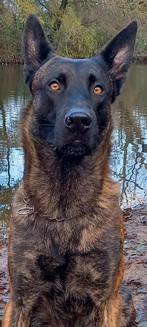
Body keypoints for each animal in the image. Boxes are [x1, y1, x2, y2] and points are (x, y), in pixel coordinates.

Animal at [2, 14, 137, 327]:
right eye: (55, 85)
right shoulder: (20, 301)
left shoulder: (105, 301)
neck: (63, 211)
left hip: (125, 300)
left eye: (98, 89)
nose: (79, 121)